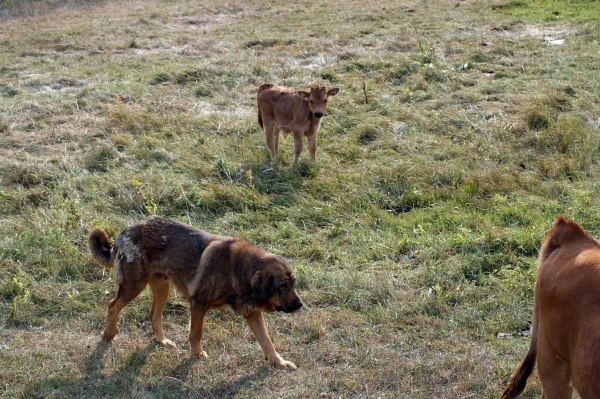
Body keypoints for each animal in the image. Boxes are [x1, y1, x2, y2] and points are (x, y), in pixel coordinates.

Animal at [88, 217, 304, 370]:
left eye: (293, 283)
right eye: (282, 286)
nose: (300, 305)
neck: (240, 269)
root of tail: (125, 231)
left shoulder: (252, 314)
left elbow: (267, 342)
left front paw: (279, 363)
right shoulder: (198, 306)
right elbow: (196, 334)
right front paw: (197, 355)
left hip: (162, 288)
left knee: (153, 315)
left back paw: (162, 341)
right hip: (134, 286)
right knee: (112, 305)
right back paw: (108, 334)